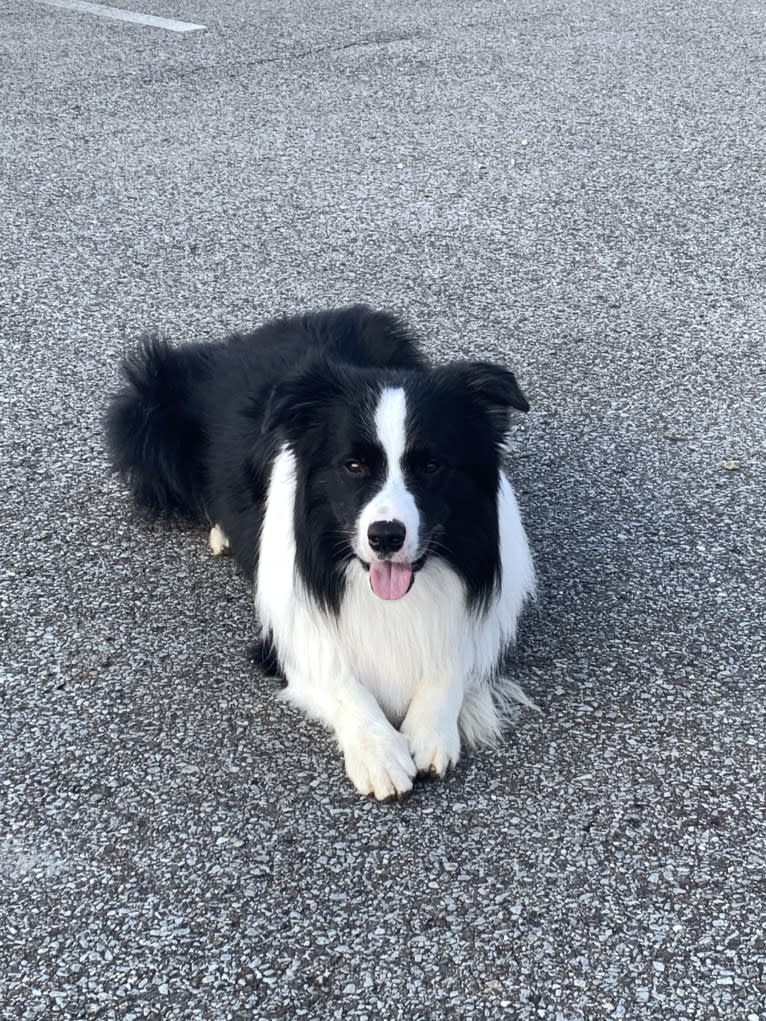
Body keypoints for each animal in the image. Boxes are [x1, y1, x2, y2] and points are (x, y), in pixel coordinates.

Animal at [108, 306, 535, 800]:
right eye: (353, 466)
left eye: (431, 465)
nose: (385, 537)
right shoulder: (287, 631)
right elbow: (340, 680)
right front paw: (379, 753)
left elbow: (453, 660)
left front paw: (430, 730)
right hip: (146, 411)